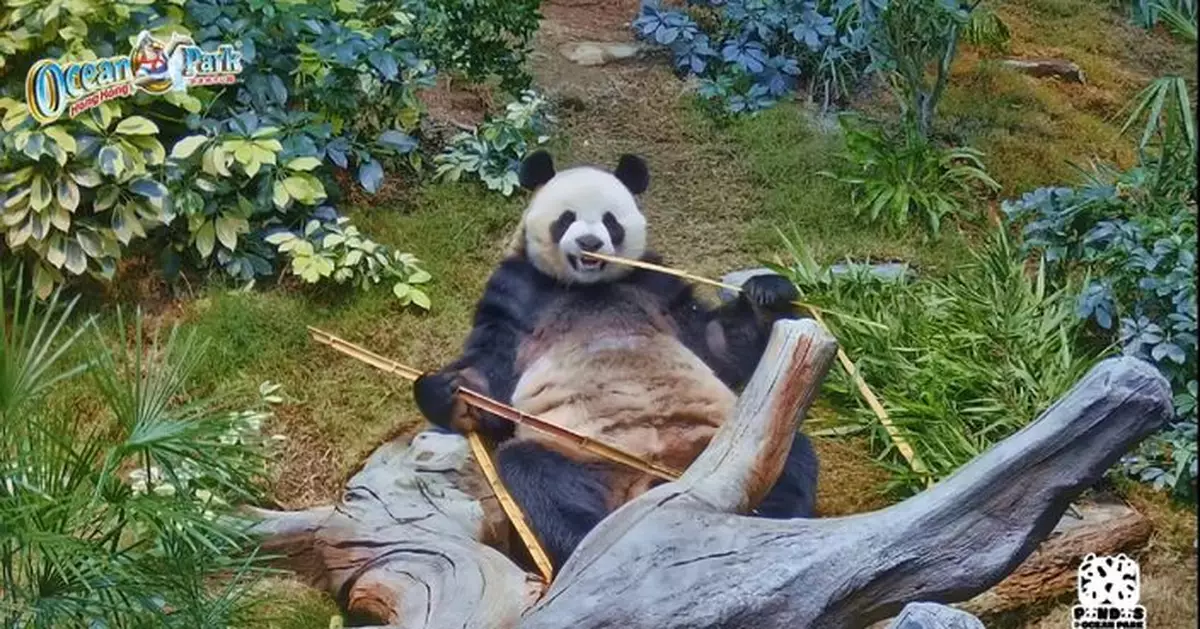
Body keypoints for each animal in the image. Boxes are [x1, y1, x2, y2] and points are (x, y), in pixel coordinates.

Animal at [412, 151, 816, 568]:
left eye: (610, 221)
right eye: (567, 218)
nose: (590, 242)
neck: (588, 287)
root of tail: (654, 482)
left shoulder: (656, 285)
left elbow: (717, 342)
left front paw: (767, 293)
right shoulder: (516, 290)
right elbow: (494, 371)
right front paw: (448, 389)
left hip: (724, 440)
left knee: (789, 458)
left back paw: (765, 516)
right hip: (580, 454)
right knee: (539, 478)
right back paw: (587, 540)